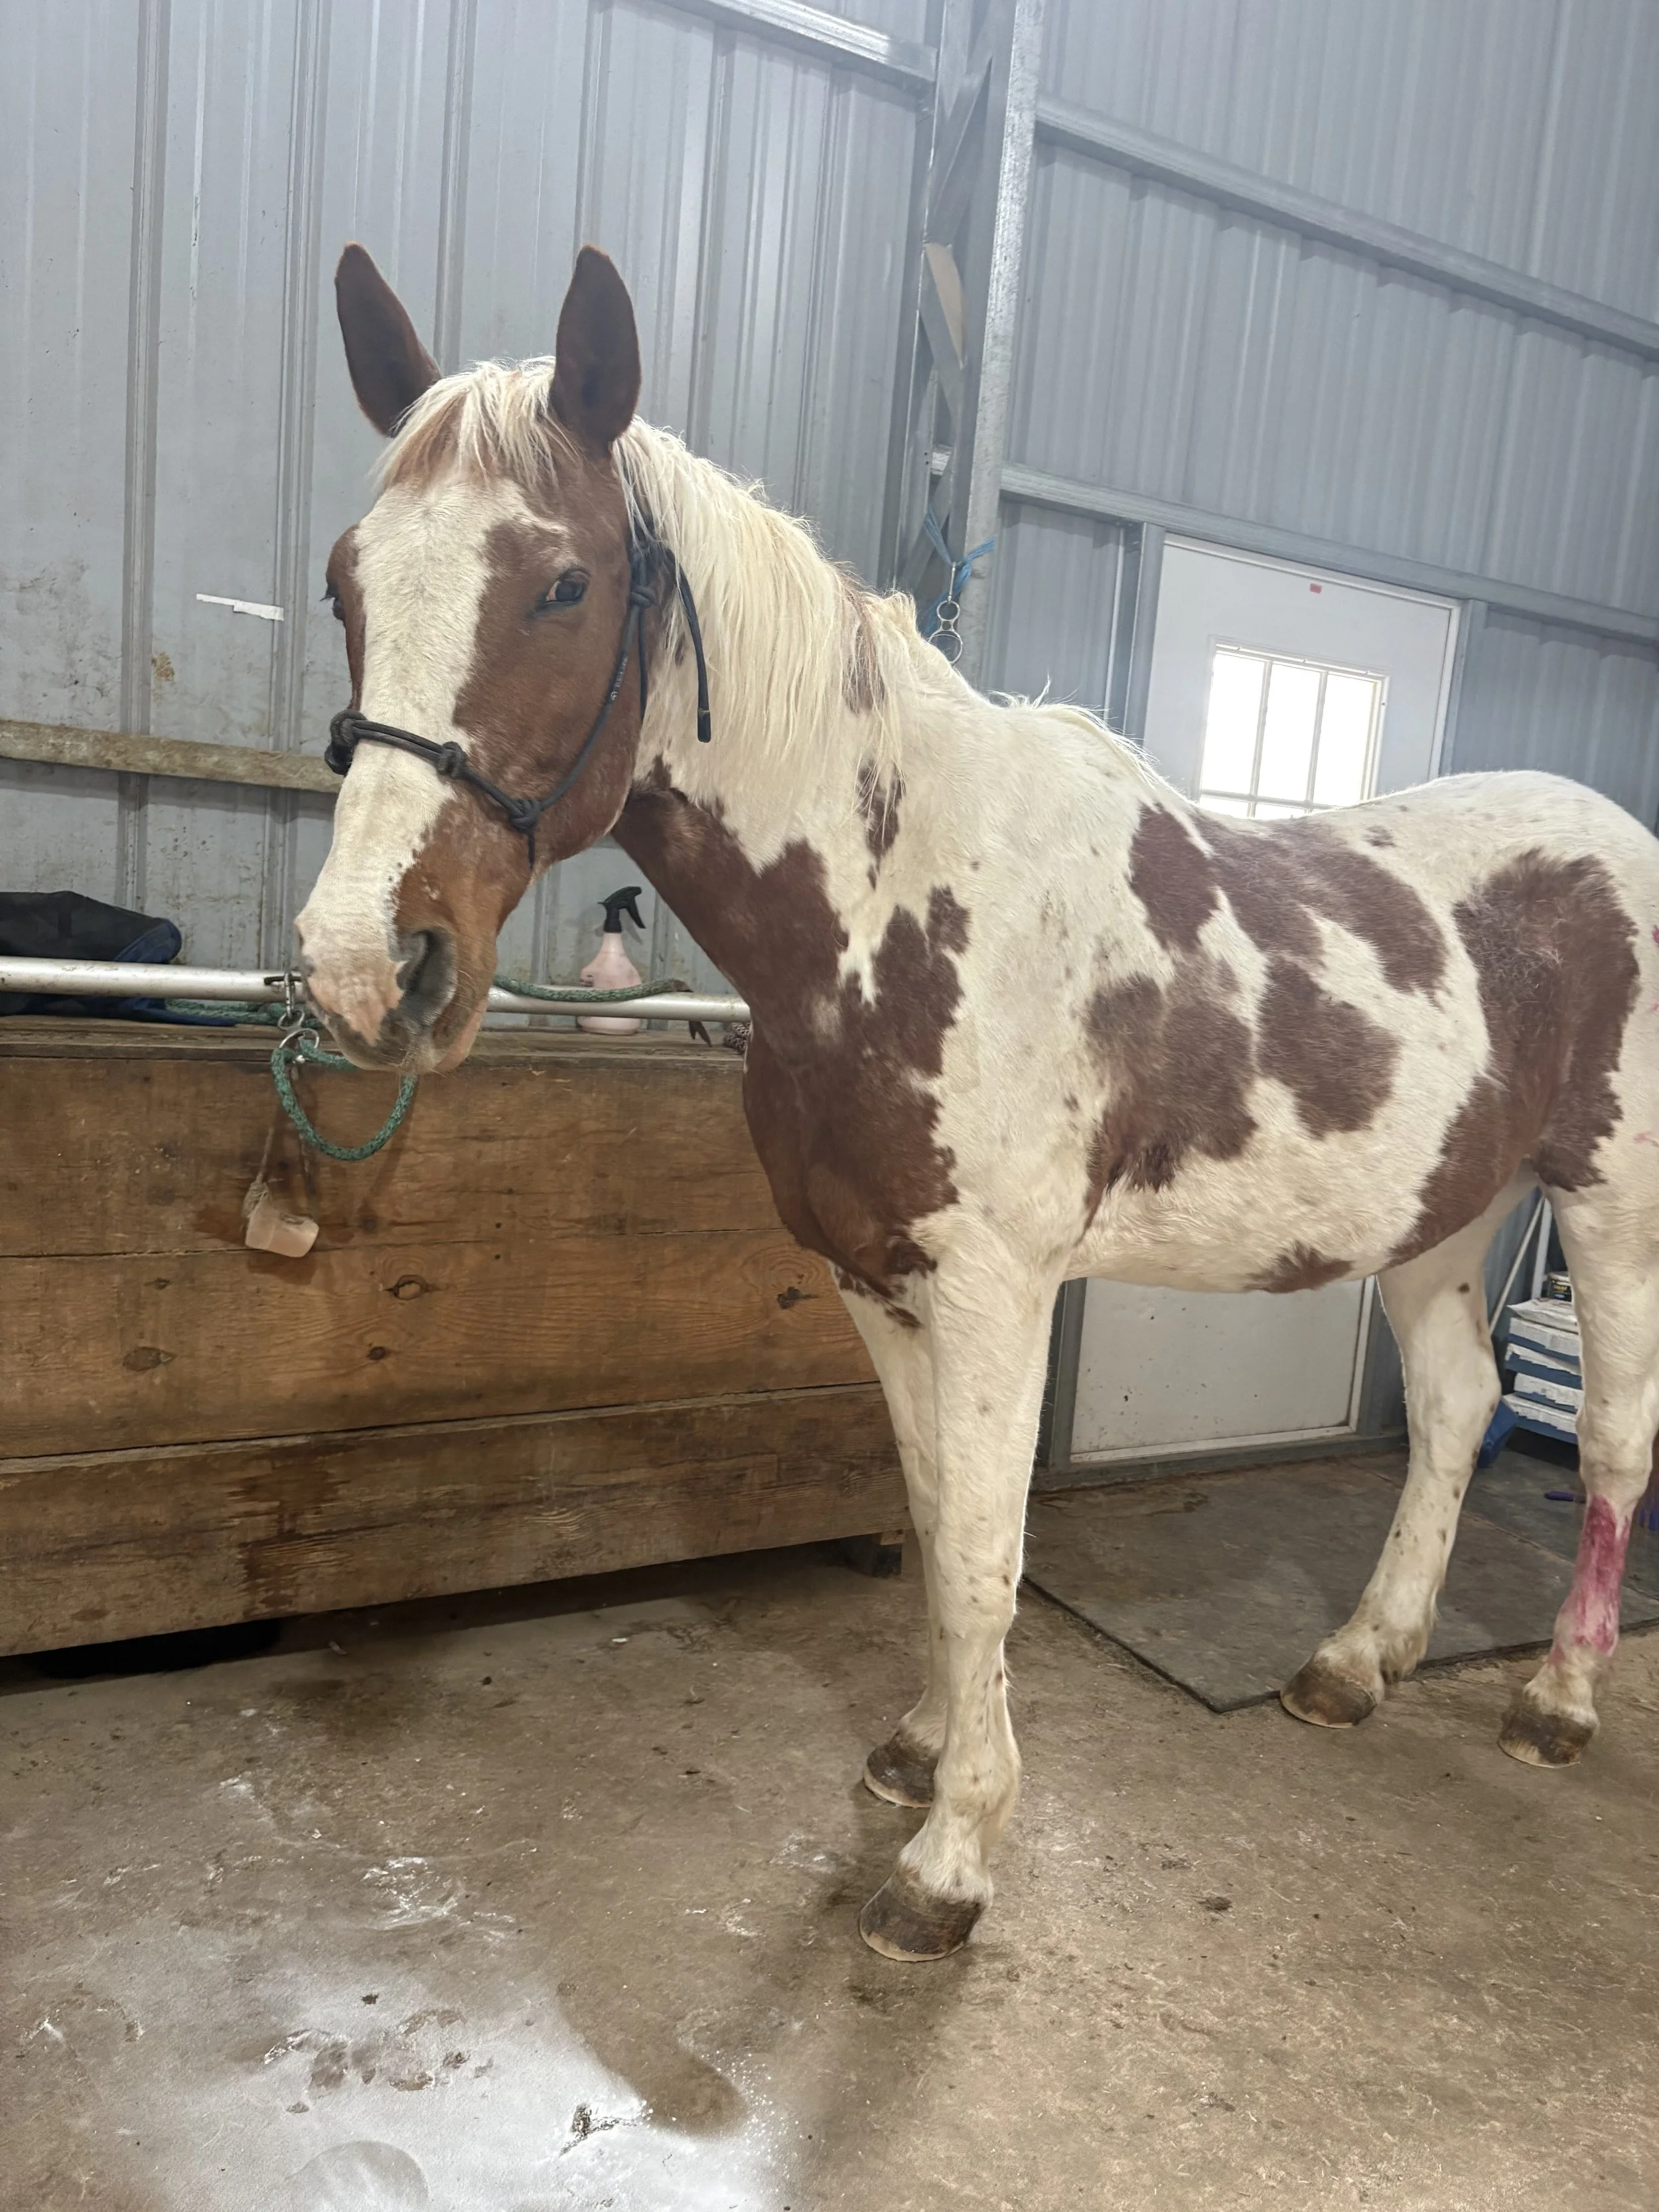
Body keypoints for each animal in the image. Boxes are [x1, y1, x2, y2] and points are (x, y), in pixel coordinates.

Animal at [297, 241, 1659, 1962]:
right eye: (346, 580)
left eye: (559, 583)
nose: (365, 965)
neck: (897, 898)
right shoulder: (877, 1281)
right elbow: (941, 1516)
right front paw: (922, 1752)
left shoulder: (996, 1291)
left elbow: (985, 1555)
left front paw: (951, 1859)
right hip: (1436, 1214)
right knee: (1460, 1406)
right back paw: (1360, 1662)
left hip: (1609, 1206)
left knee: (1608, 1435)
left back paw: (1554, 1698)